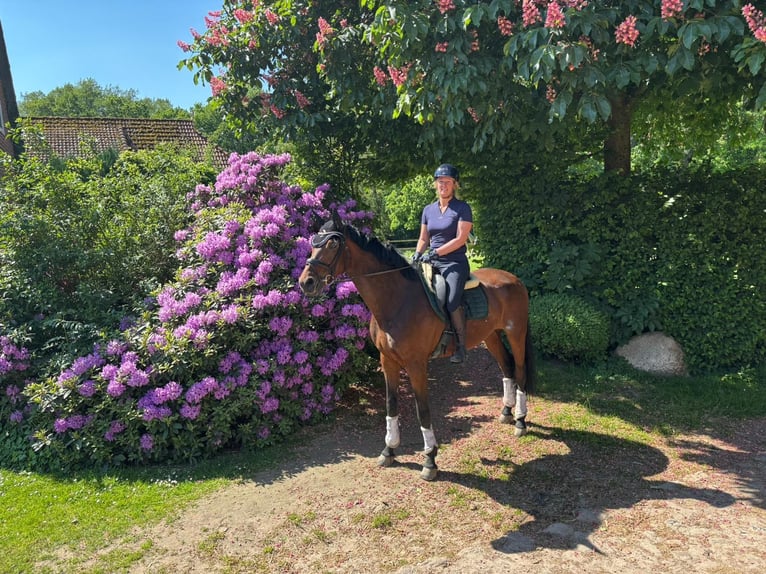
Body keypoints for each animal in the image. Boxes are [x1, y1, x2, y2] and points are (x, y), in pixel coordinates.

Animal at [298, 214, 534, 481]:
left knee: (520, 370)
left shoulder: (416, 364)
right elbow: (391, 405)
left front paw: (430, 460)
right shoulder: (387, 360)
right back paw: (506, 412)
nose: (306, 282)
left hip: (516, 333)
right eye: (313, 242)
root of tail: (514, 279)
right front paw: (389, 450)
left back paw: (520, 421)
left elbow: (423, 410)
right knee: (507, 368)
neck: (398, 301)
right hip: (491, 335)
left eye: (332, 244)